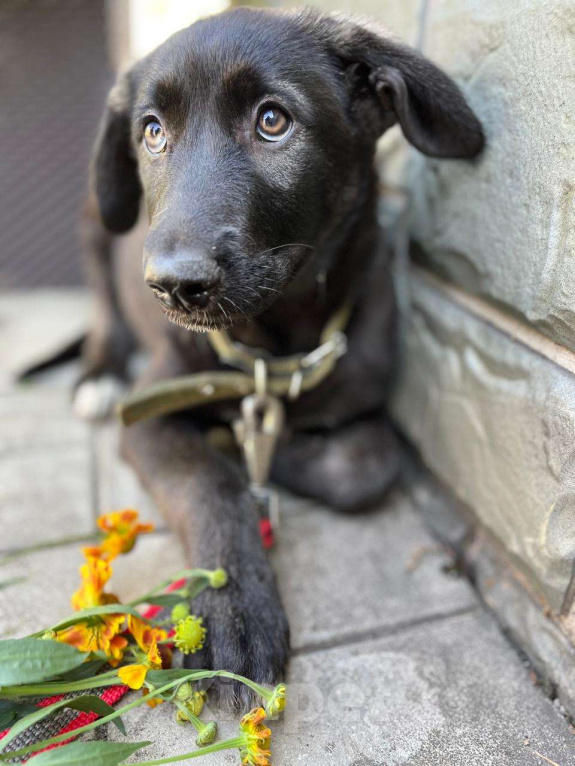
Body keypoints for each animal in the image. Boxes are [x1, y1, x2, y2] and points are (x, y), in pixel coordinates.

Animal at [79, 6, 484, 704]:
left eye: (273, 121)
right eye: (152, 132)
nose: (173, 285)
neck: (272, 347)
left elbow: (364, 465)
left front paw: (270, 448)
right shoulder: (150, 412)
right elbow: (211, 485)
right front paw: (235, 606)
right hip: (97, 231)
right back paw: (100, 373)